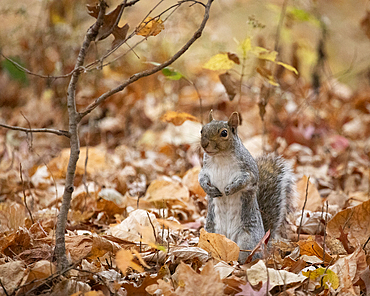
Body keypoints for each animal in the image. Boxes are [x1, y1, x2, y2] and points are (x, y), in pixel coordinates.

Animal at [198, 110, 296, 262]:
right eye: (202, 130)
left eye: (224, 133)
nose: (204, 144)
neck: (220, 157)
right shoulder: (205, 170)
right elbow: (201, 179)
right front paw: (209, 190)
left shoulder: (249, 171)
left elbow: (246, 180)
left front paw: (231, 189)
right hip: (209, 233)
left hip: (248, 240)